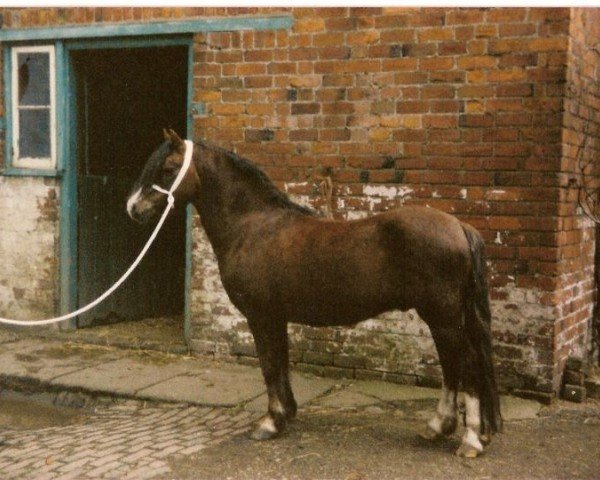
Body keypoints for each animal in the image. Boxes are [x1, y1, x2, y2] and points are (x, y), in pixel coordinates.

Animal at [126, 130, 502, 458]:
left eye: (169, 168)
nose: (133, 208)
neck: (251, 226)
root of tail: (459, 227)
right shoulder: (276, 317)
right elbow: (280, 363)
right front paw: (286, 414)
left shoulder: (261, 316)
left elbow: (269, 365)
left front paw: (270, 423)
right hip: (444, 318)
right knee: (454, 366)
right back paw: (439, 427)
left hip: (443, 316)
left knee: (466, 366)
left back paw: (469, 440)